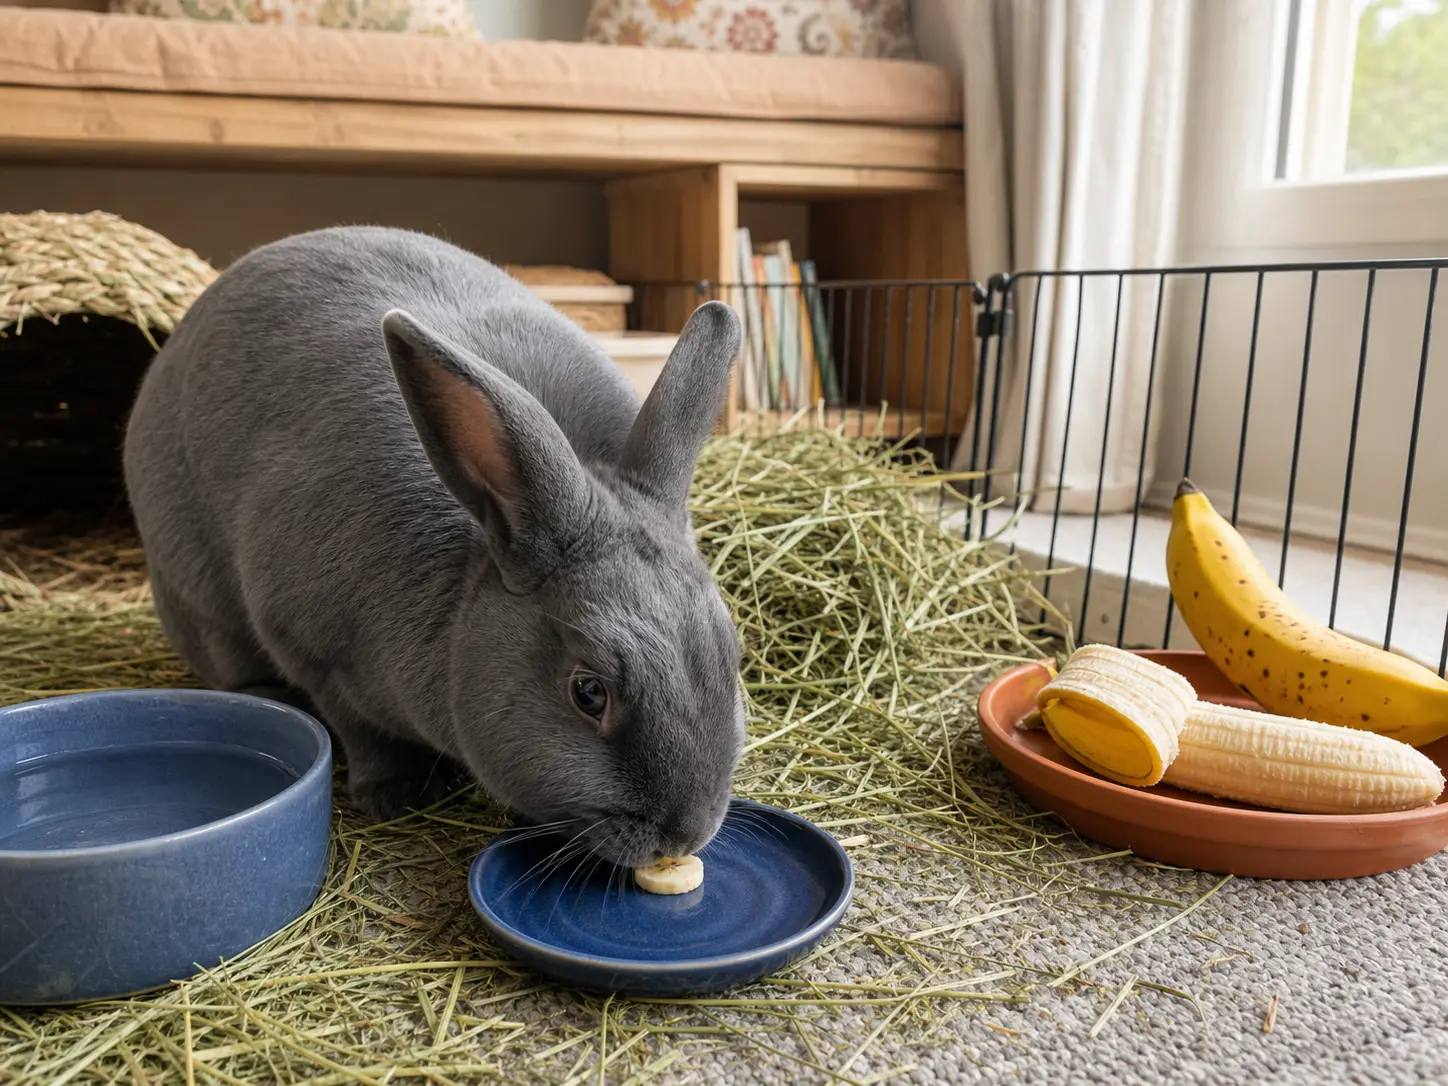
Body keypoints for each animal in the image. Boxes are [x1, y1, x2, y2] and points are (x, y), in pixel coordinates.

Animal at [122, 225, 746, 867]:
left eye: (732, 654)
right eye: (589, 692)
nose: (685, 834)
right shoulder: (314, 652)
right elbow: (362, 731)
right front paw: (394, 795)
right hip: (202, 605)